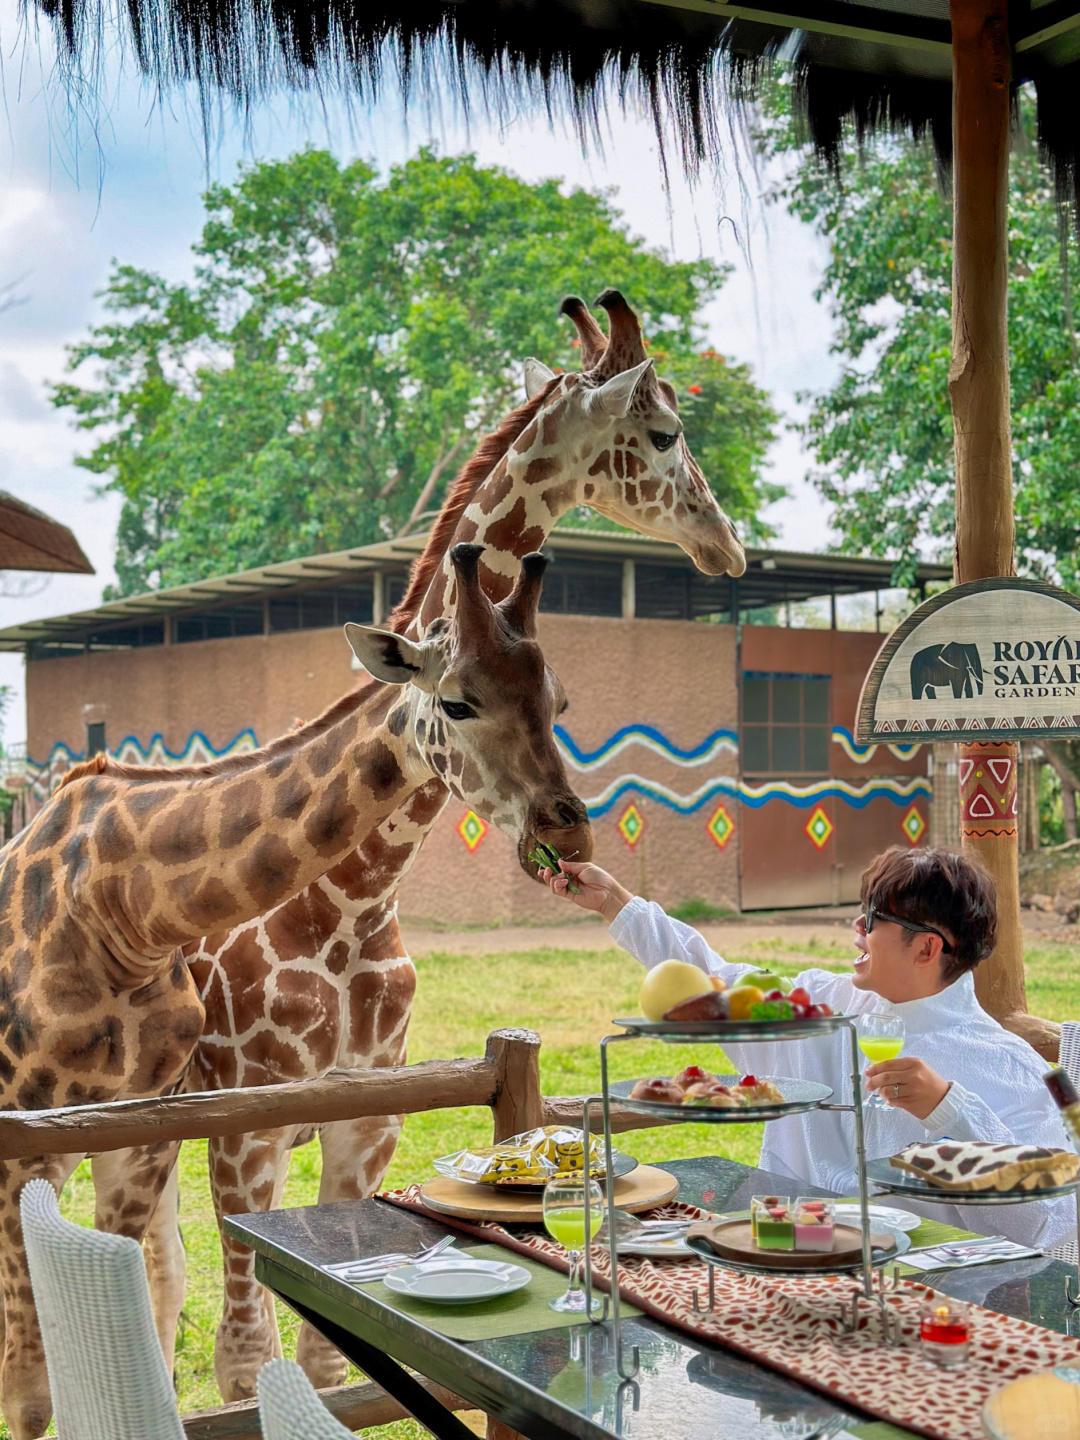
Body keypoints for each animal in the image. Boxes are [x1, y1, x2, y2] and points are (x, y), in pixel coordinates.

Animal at [0, 541, 593, 1440]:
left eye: (558, 700)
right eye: (457, 701)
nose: (569, 828)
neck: (117, 909)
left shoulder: (331, 1125)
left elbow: (316, 1358)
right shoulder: (209, 1133)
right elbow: (61, 1386)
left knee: (160, 1273)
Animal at [154, 286, 754, 1399]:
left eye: (562, 697)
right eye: (665, 430)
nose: (726, 548)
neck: (351, 897)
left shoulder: (368, 1120)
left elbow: (323, 1352)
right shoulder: (247, 1124)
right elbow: (251, 1359)